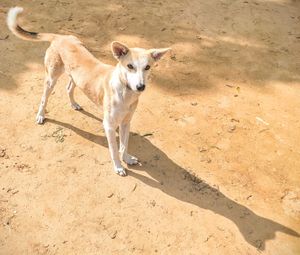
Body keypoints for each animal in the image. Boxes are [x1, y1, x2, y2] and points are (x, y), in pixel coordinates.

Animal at [7, 6, 170, 176]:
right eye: (130, 66)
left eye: (147, 67)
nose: (140, 87)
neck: (125, 92)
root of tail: (60, 36)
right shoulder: (109, 125)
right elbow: (114, 150)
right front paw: (118, 166)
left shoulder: (126, 122)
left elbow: (124, 145)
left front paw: (127, 158)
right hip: (51, 78)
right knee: (44, 98)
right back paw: (40, 115)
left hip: (75, 77)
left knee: (68, 88)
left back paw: (74, 104)